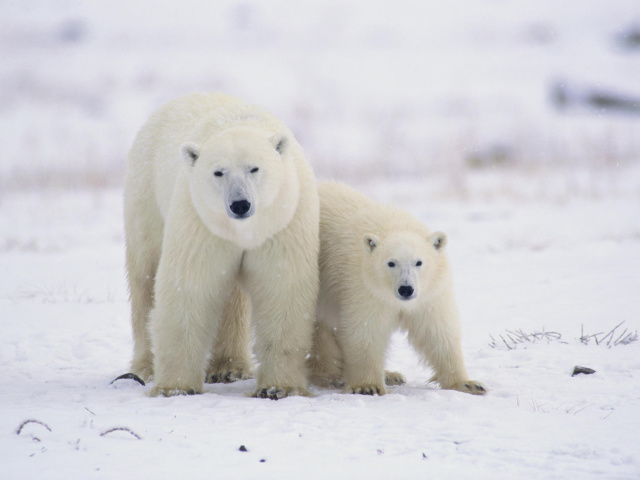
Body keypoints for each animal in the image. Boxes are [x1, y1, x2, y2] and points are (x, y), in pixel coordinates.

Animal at [124, 92, 318, 400]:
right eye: (218, 172)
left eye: (254, 168)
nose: (240, 204)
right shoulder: (200, 221)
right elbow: (190, 284)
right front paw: (175, 387)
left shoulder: (282, 220)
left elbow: (282, 286)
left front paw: (278, 387)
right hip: (146, 195)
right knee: (145, 276)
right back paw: (145, 367)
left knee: (233, 298)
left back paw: (229, 368)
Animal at [310, 182, 484, 396]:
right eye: (391, 263)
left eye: (419, 262)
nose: (406, 289)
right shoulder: (364, 287)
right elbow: (366, 329)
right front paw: (367, 386)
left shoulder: (430, 293)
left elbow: (437, 331)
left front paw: (468, 384)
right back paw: (331, 375)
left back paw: (391, 375)